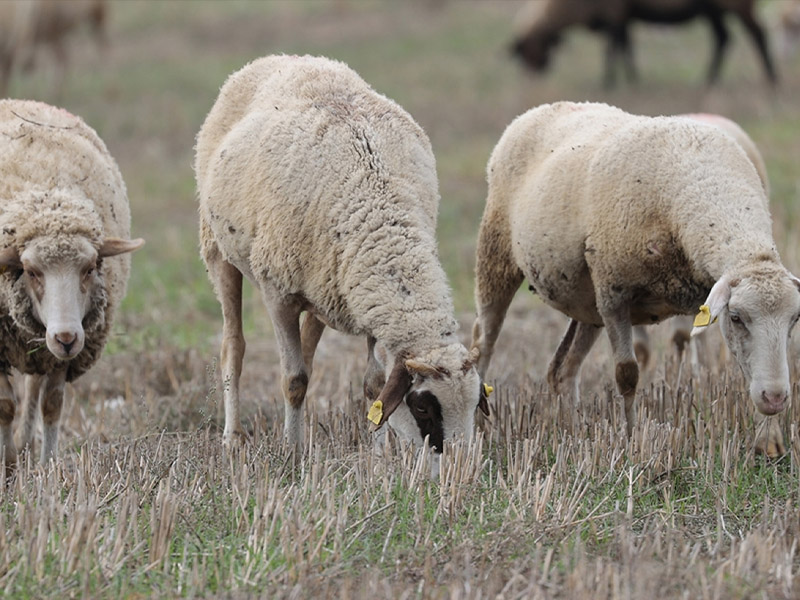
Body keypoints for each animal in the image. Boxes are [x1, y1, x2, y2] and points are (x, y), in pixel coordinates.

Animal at [0, 99, 144, 464]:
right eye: (31, 271)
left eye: (90, 268)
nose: (66, 338)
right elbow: (5, 406)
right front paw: (7, 464)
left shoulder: (61, 356)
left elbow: (52, 405)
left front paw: (47, 466)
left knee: (33, 388)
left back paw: (26, 443)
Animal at [194, 55, 484, 460]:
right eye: (423, 408)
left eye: (474, 405)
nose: (460, 467)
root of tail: (286, 58)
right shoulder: (278, 294)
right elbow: (293, 379)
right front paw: (292, 452)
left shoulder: (371, 303)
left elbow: (374, 386)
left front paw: (378, 457)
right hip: (217, 250)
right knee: (233, 348)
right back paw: (232, 438)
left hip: (325, 290)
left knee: (307, 349)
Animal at [476, 102, 800, 454]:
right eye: (737, 317)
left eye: (794, 319)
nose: (775, 398)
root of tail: (540, 110)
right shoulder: (614, 294)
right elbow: (627, 374)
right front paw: (633, 442)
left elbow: (746, 369)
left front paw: (769, 443)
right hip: (497, 252)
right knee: (484, 343)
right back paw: (476, 430)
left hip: (588, 301)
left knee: (562, 370)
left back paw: (572, 433)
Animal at [510, 0, 780, 88]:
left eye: (526, 51)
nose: (533, 76)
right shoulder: (622, 15)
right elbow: (626, 48)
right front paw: (633, 79)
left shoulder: (614, 12)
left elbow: (612, 50)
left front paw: (608, 82)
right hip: (712, 9)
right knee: (723, 37)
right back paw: (708, 79)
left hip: (737, 4)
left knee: (758, 34)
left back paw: (770, 77)